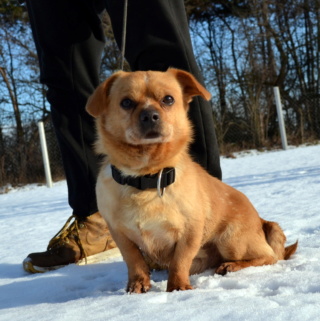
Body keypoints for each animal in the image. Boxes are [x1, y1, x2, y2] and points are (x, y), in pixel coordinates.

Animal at [85, 68, 298, 292]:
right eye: (126, 102)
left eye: (168, 99)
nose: (150, 115)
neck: (146, 177)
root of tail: (262, 221)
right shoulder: (120, 235)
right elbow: (134, 261)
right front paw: (137, 285)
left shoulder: (191, 232)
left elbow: (180, 261)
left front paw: (178, 288)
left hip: (230, 240)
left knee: (269, 256)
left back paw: (231, 266)